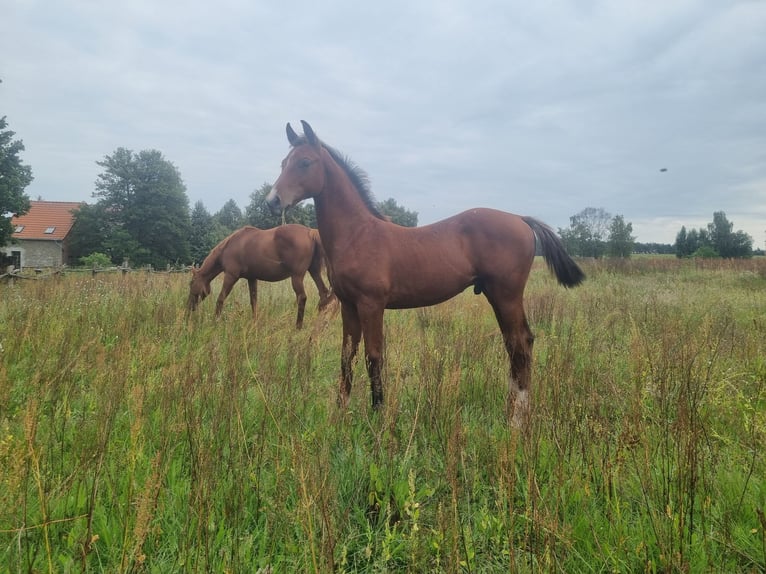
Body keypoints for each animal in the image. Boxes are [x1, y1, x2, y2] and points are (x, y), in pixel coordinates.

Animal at [188, 224, 334, 328]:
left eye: (191, 283)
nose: (189, 308)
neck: (230, 246)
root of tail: (310, 232)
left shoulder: (231, 276)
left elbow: (220, 299)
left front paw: (215, 321)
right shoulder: (252, 278)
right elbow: (254, 302)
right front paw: (255, 323)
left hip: (297, 276)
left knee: (302, 297)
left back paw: (298, 326)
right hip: (314, 271)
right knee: (323, 293)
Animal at [268, 122, 584, 428]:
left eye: (305, 162)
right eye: (283, 162)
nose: (272, 201)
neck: (358, 234)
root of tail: (520, 219)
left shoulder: (372, 305)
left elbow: (374, 357)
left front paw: (378, 416)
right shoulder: (348, 305)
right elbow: (348, 356)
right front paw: (340, 413)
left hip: (506, 296)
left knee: (520, 345)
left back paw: (516, 421)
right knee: (516, 344)